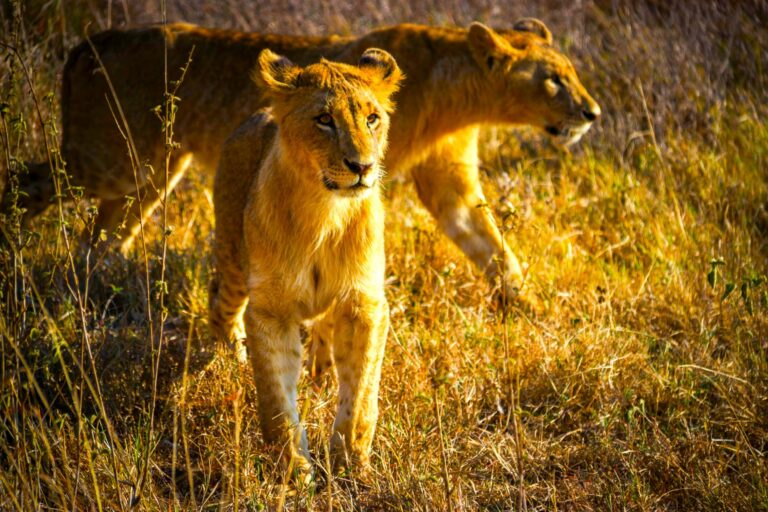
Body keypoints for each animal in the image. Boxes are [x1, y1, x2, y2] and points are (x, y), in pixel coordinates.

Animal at [208, 47, 402, 475]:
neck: (324, 215)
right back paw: (231, 358)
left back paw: (321, 373)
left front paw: (349, 463)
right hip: (232, 261)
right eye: (324, 120)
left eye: (372, 118)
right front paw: (294, 470)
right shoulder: (271, 311)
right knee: (220, 303)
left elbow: (360, 394)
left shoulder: (364, 304)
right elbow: (277, 402)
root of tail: (262, 112)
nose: (362, 167)